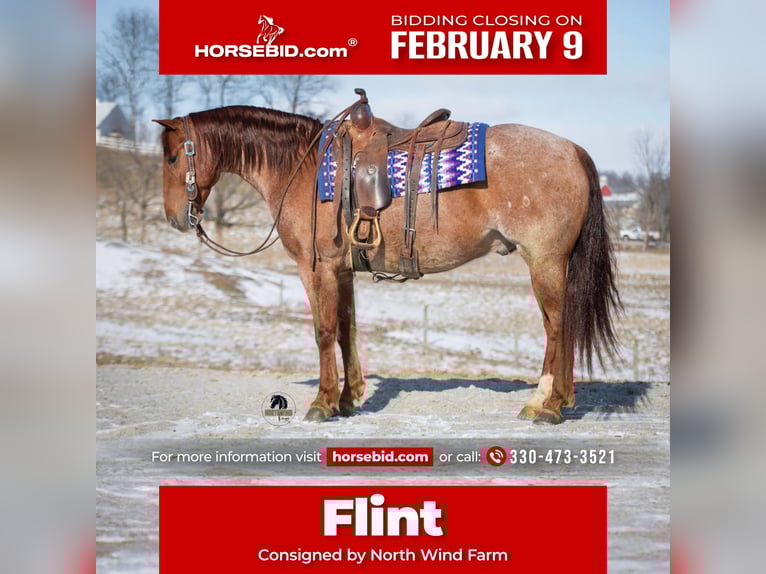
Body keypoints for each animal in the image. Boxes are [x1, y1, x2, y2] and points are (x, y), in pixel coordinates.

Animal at [153, 93, 621, 425]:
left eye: (174, 156)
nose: (175, 218)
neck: (302, 170)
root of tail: (573, 149)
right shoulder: (343, 272)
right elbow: (347, 332)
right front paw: (347, 399)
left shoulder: (316, 268)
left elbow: (324, 332)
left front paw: (322, 402)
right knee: (557, 327)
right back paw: (545, 401)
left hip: (545, 262)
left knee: (558, 327)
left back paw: (550, 407)